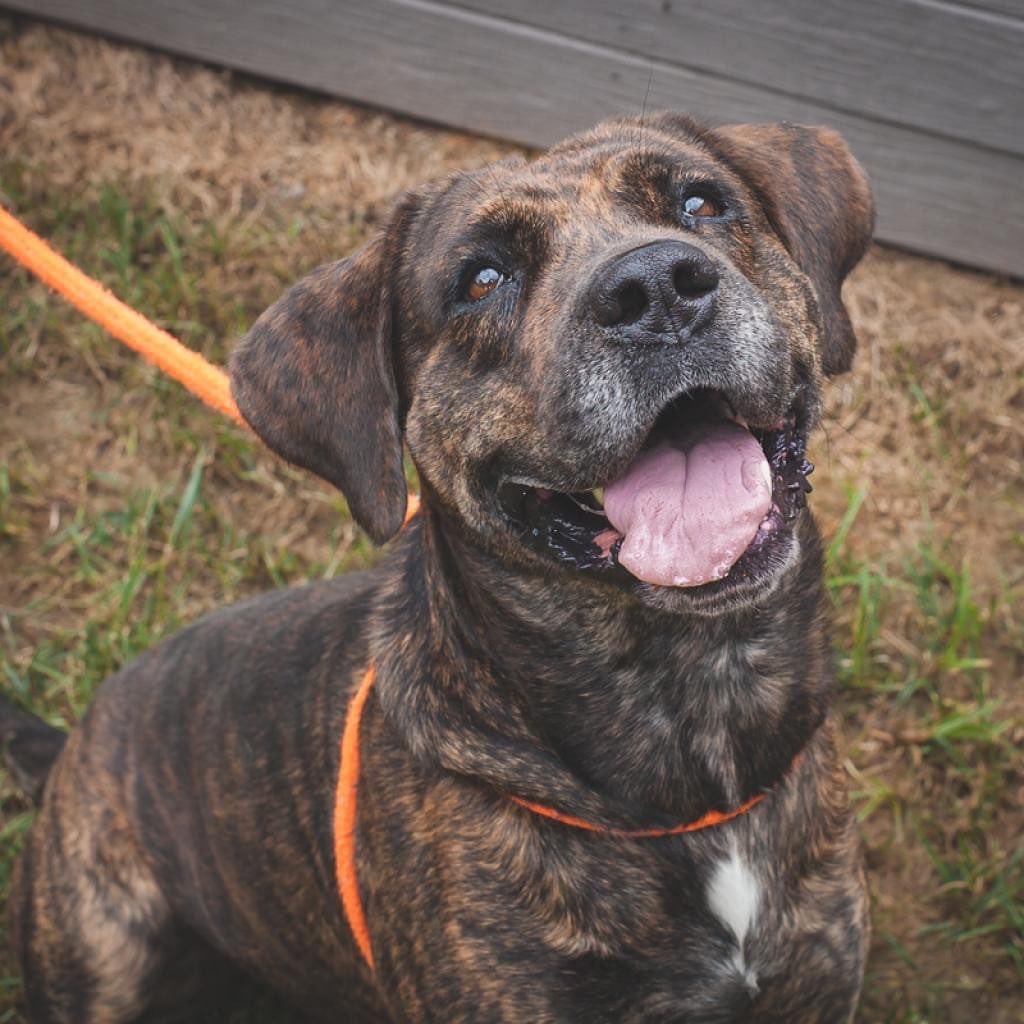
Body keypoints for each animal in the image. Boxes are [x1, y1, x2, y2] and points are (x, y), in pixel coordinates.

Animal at [6, 114, 872, 1024]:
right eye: (482, 279)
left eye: (702, 203)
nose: (657, 288)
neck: (699, 693)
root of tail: (72, 752)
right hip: (101, 955)